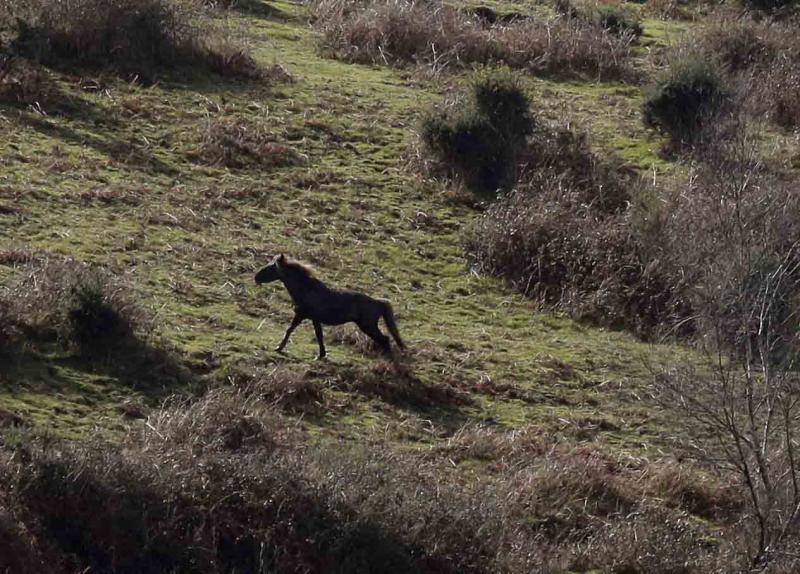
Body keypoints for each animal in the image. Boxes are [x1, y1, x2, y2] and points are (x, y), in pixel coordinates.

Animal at [254, 254, 405, 359]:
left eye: (271, 267)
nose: (256, 278)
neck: (306, 290)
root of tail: (378, 302)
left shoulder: (303, 315)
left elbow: (292, 330)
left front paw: (279, 348)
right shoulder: (311, 318)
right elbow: (316, 335)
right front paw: (321, 355)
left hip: (368, 326)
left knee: (385, 340)